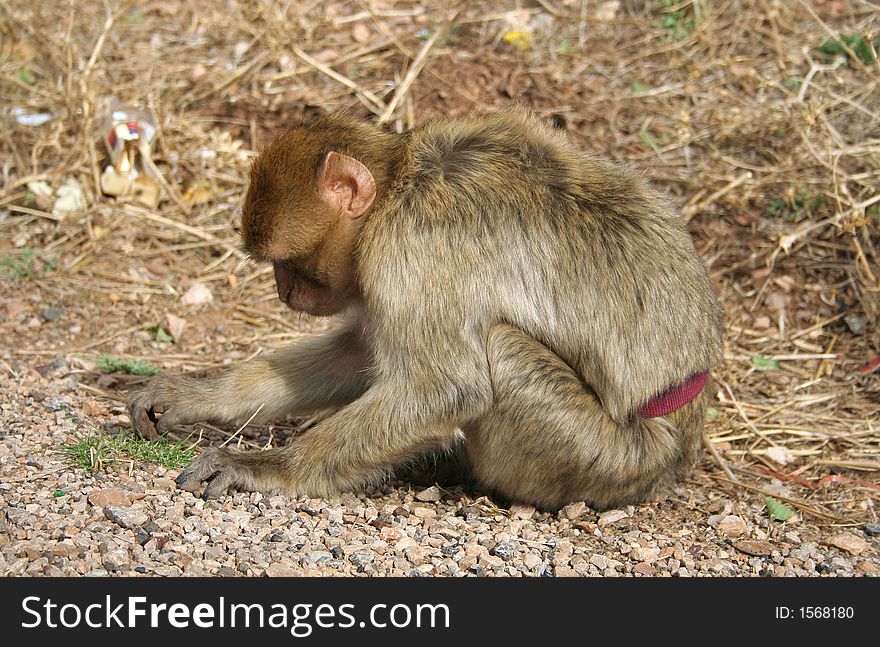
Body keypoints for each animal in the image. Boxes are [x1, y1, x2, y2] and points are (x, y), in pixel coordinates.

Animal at [129, 106, 720, 512]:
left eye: (289, 264)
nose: (283, 292)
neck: (398, 184)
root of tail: (683, 448)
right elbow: (358, 353)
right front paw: (195, 395)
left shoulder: (408, 250)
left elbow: (446, 389)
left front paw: (269, 466)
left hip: (609, 460)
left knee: (501, 351)